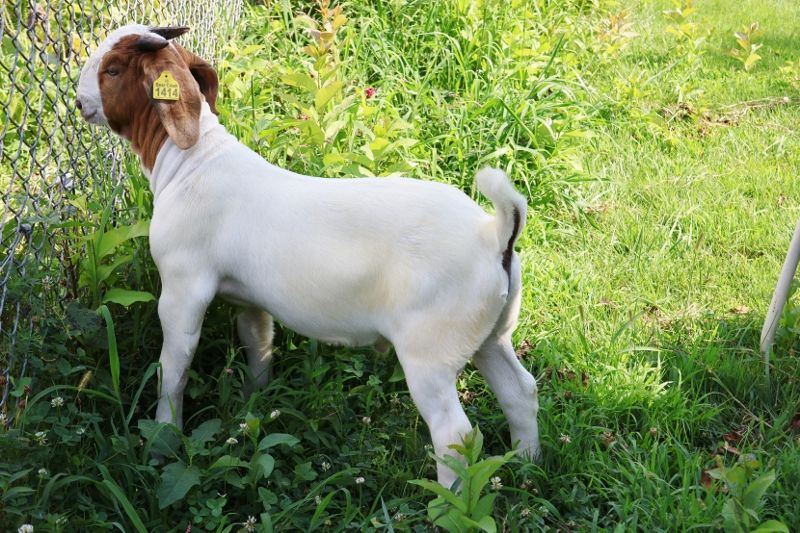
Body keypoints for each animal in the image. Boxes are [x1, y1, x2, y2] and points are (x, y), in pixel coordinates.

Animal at [75, 24, 540, 487]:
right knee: (521, 391)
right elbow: (258, 343)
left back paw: (447, 499)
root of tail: (493, 233)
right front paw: (254, 406)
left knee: (454, 432)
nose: (79, 101)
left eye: (112, 69)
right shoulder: (251, 300)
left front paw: (162, 442)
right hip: (491, 334)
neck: (192, 162)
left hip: (431, 350)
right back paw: (527, 466)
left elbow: (172, 370)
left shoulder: (182, 289)